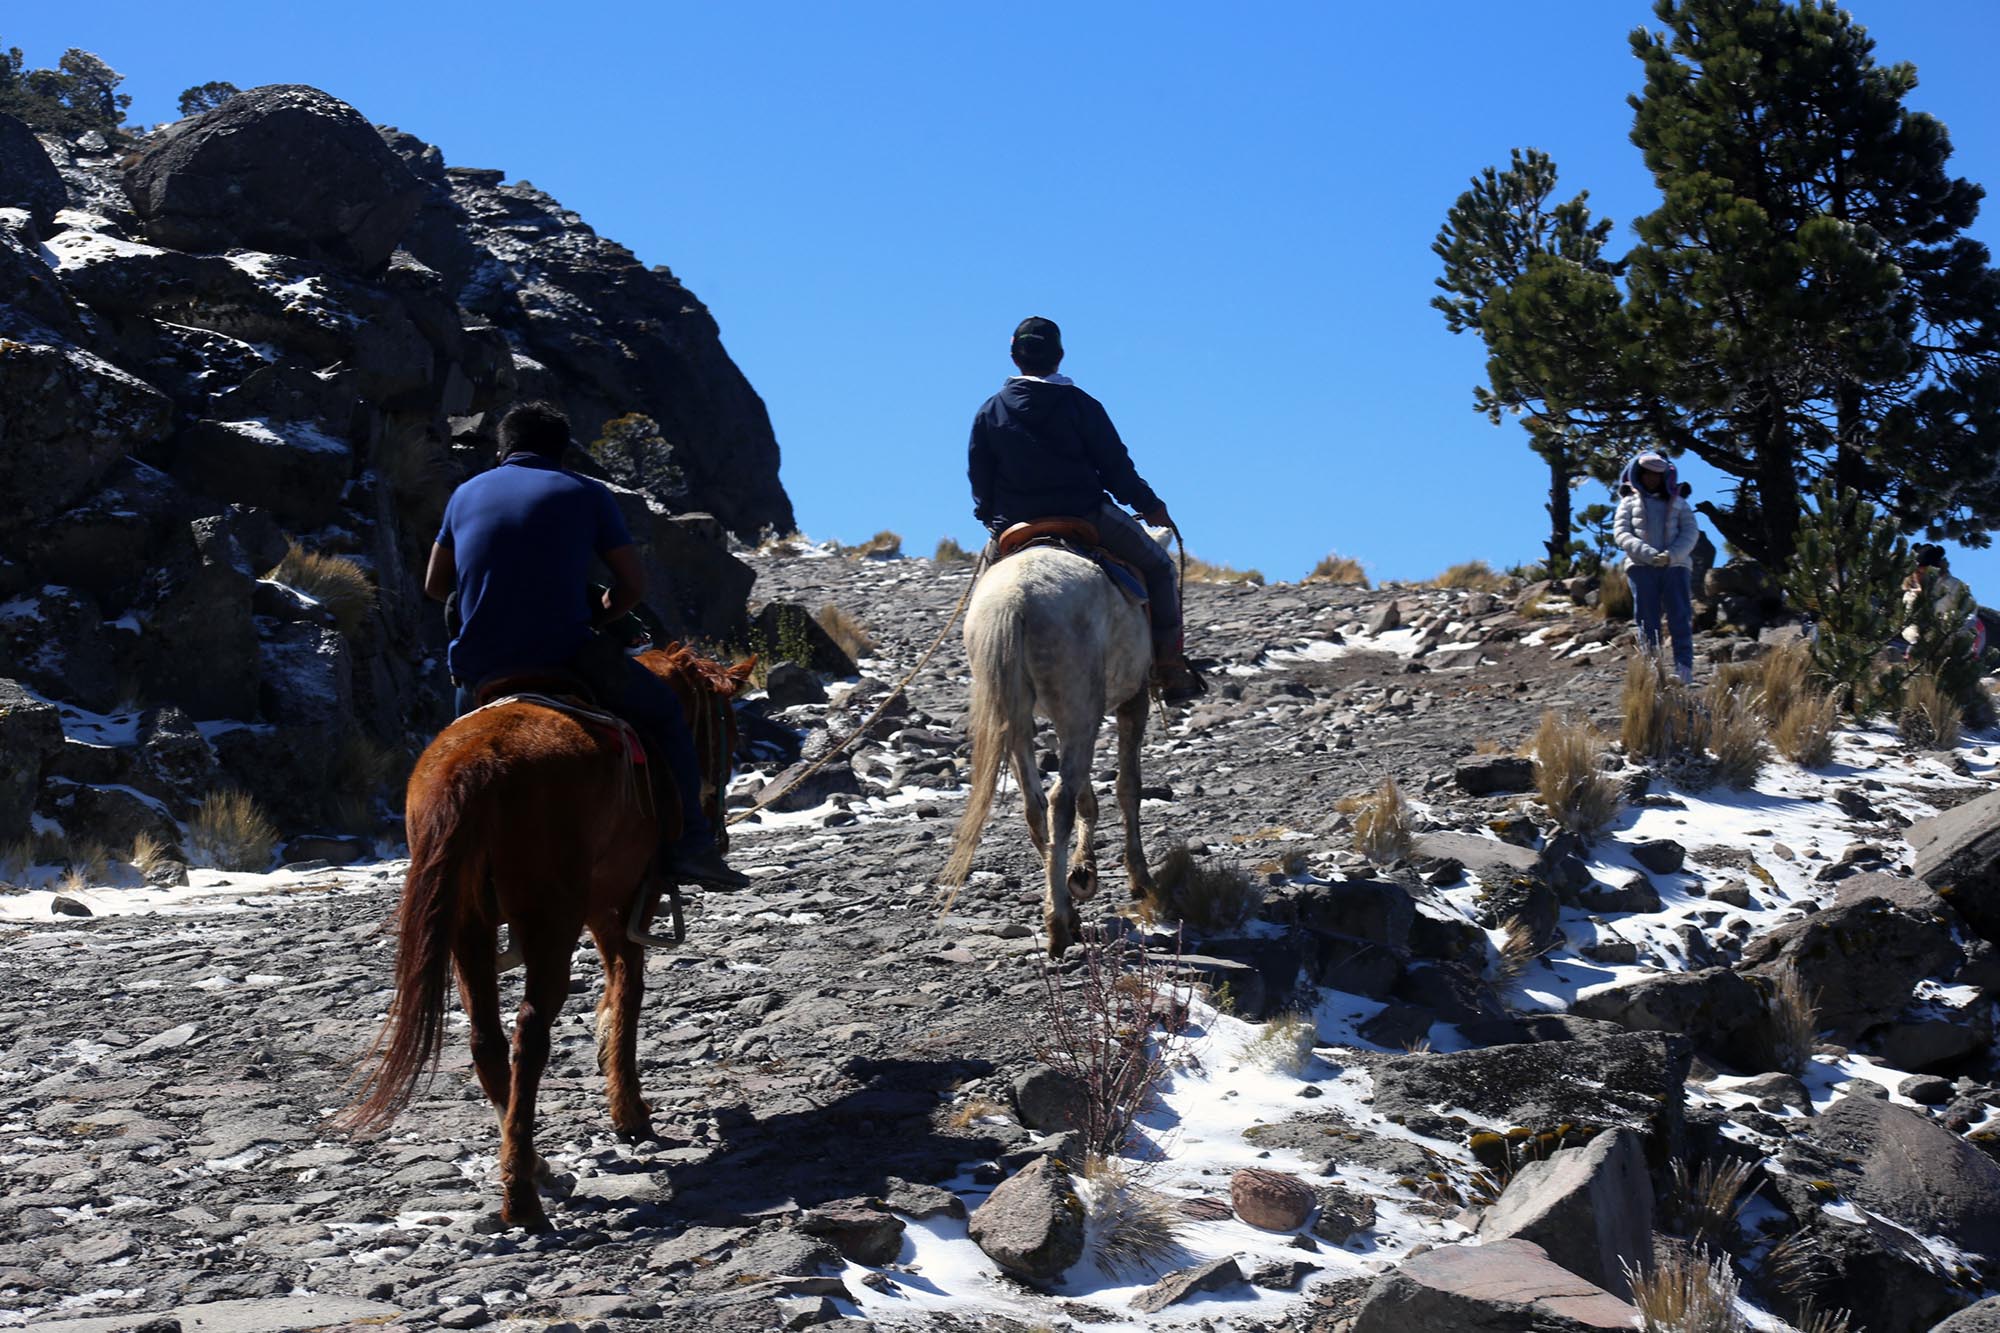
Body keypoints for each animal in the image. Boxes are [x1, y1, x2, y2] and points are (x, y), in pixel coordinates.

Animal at [344, 644, 752, 1224]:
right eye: (729, 728)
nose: (718, 835)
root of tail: (474, 764)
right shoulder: (626, 900)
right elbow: (627, 989)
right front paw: (629, 1110)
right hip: (550, 923)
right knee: (530, 1036)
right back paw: (521, 1197)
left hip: (469, 930)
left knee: (487, 1041)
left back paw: (534, 1167)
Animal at [948, 544, 1168, 948]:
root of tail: (1013, 600)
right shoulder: (1133, 700)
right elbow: (1127, 787)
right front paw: (1139, 878)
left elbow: (1087, 796)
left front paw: (1083, 871)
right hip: (1080, 705)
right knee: (1059, 799)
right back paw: (1060, 923)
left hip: (1019, 717)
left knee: (1035, 806)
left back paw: (1064, 906)